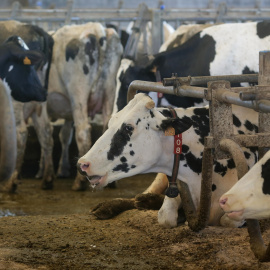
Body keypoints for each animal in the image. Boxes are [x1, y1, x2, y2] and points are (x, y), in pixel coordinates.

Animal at [77, 93, 258, 228]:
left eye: (129, 127)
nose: (82, 164)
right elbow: (165, 216)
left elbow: (228, 220)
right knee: (139, 196)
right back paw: (111, 206)